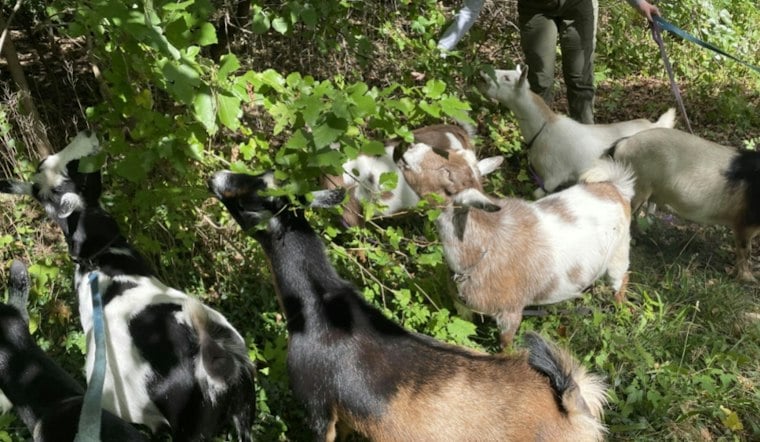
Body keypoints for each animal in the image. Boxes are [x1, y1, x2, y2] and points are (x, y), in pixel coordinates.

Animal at [398, 142, 634, 347]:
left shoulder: (510, 314)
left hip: (619, 252)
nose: (411, 148)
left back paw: (620, 309)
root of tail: (615, 187)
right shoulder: (462, 307)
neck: (483, 247)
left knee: (621, 279)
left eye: (447, 173)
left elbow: (505, 345)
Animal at [609, 127, 760, 282]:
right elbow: (745, 251)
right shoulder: (745, 222)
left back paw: (642, 235)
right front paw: (750, 280)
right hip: (636, 187)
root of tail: (623, 144)